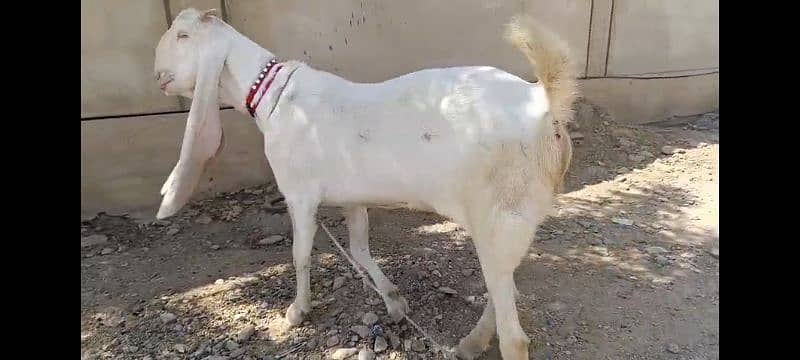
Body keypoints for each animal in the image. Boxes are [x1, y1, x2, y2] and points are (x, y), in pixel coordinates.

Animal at [152, 7, 576, 358]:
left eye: (183, 36)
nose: (158, 77)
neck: (272, 94)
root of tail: (546, 108)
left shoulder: (300, 194)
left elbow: (300, 254)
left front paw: (297, 312)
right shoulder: (352, 197)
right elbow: (359, 249)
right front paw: (394, 301)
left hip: (502, 212)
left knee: (514, 334)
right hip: (509, 222)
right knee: (504, 286)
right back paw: (471, 343)